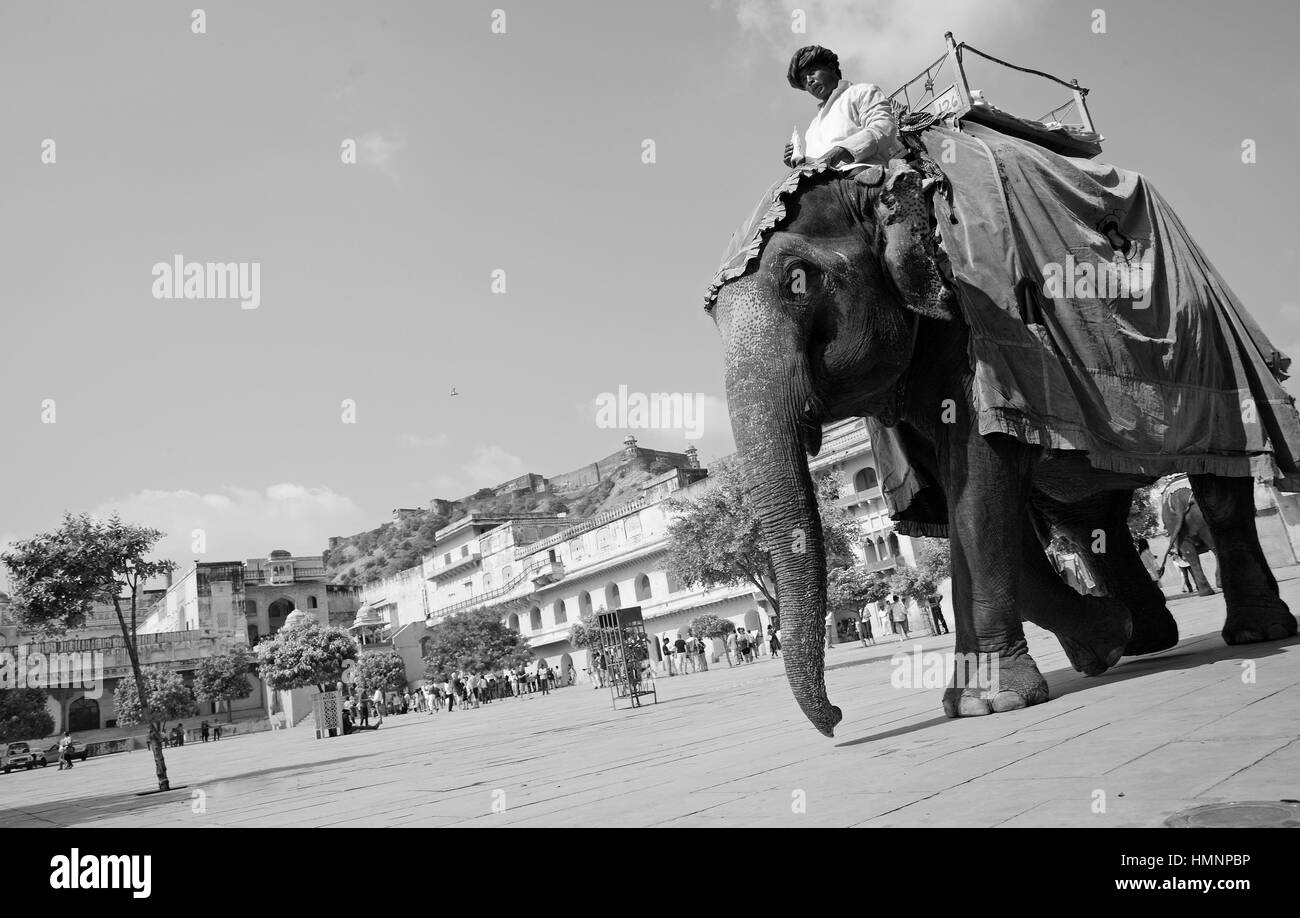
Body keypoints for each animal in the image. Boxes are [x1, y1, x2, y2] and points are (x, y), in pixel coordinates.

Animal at [707, 135, 1294, 738]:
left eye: (798, 279)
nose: (836, 721)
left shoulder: (976, 336)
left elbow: (981, 488)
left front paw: (988, 702)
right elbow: (971, 505)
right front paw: (1105, 637)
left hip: (1211, 353)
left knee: (1221, 483)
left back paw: (1254, 632)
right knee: (1088, 520)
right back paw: (1145, 639)